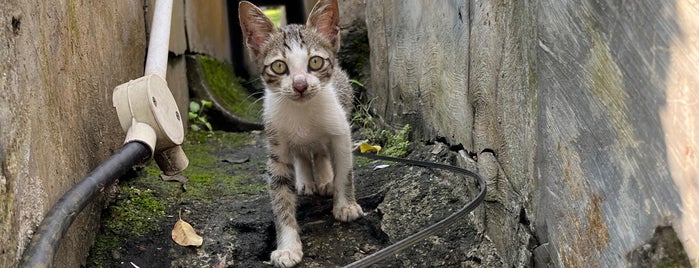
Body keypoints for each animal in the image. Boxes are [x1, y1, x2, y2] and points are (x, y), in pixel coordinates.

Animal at [238, 1, 364, 266]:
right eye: (279, 66)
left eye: (315, 62)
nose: (300, 85)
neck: (302, 112)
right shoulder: (276, 146)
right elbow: (280, 199)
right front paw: (287, 247)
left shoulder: (341, 133)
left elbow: (344, 170)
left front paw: (345, 205)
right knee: (304, 154)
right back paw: (306, 181)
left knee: (320, 152)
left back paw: (325, 180)